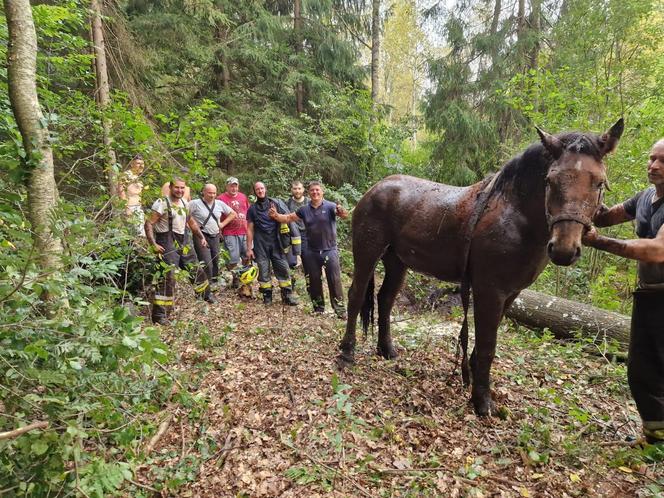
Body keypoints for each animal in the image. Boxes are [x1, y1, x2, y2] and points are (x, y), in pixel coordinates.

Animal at [340, 120, 624, 416]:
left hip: (397, 262)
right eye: (549, 180)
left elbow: (485, 341)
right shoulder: (489, 290)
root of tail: (375, 188)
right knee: (356, 296)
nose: (564, 249)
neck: (514, 215)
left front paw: (475, 379)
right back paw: (347, 353)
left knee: (385, 300)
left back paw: (387, 350)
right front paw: (482, 401)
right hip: (367, 253)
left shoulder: (510, 294)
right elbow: (488, 344)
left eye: (599, 182)